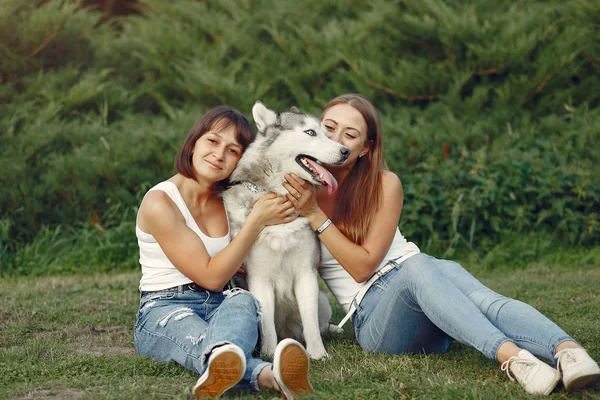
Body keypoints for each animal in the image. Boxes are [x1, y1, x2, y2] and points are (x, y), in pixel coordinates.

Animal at [223, 102, 350, 360]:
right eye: (310, 133)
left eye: (326, 133)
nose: (346, 151)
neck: (279, 196)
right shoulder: (259, 278)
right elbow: (267, 326)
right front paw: (270, 354)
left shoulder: (306, 275)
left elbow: (311, 324)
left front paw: (318, 354)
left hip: (322, 300)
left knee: (320, 324)